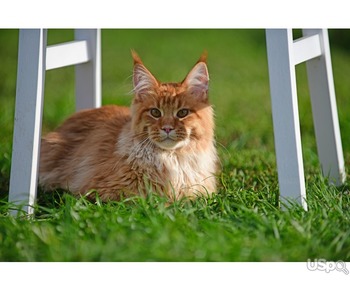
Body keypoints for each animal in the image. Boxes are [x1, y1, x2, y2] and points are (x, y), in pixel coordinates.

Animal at [39, 50, 219, 201]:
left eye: (182, 113)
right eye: (155, 112)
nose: (167, 128)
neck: (172, 158)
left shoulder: (202, 192)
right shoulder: (104, 192)